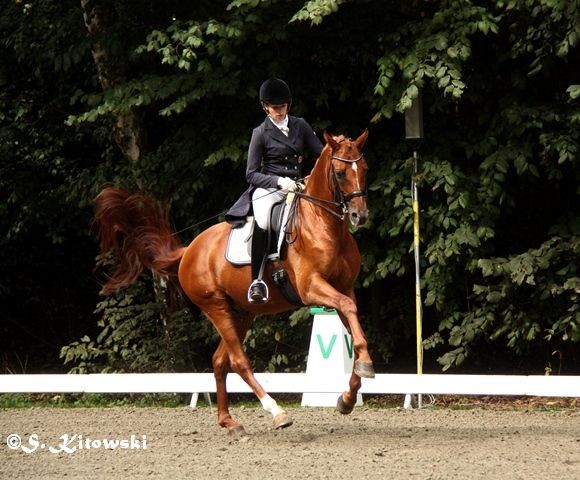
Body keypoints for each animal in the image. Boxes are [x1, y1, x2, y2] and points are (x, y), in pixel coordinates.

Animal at [94, 130, 376, 436]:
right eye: (340, 173)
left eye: (364, 169)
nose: (360, 216)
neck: (324, 224)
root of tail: (190, 250)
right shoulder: (311, 287)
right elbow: (347, 307)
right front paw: (364, 368)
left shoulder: (343, 288)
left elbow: (351, 316)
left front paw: (349, 395)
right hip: (216, 307)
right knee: (239, 362)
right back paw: (277, 413)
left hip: (242, 312)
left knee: (220, 361)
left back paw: (228, 421)